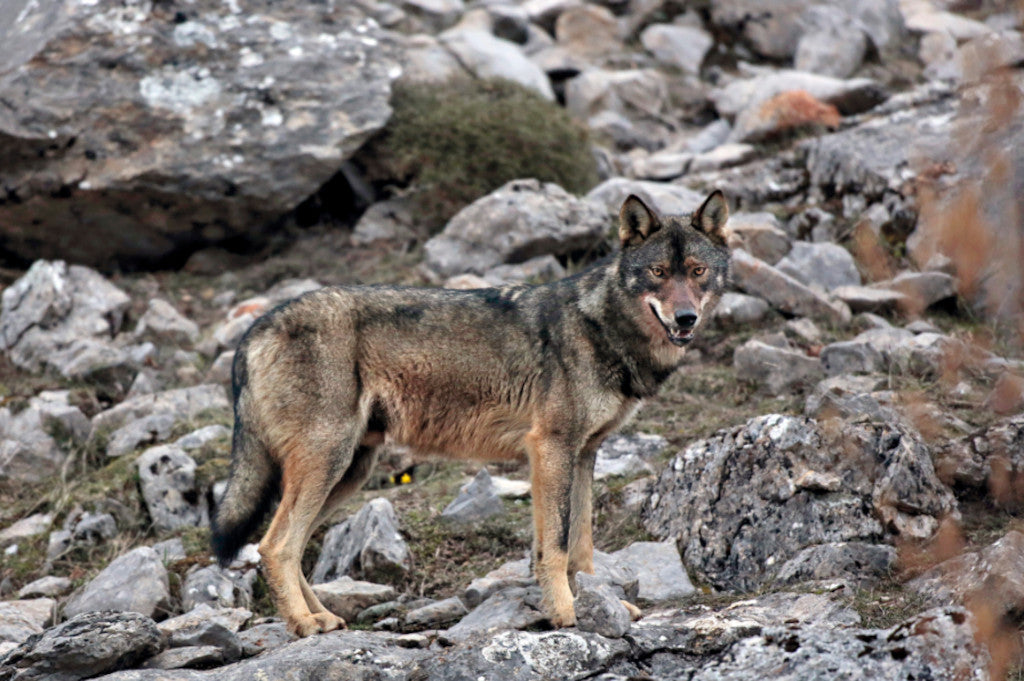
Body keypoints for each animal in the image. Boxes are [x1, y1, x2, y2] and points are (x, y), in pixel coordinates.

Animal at [211, 188, 733, 634]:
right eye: (659, 273)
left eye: (697, 272)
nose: (685, 318)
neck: (600, 327)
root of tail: (254, 330)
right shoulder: (551, 449)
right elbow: (556, 546)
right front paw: (566, 613)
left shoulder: (584, 454)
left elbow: (582, 546)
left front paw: (600, 601)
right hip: (329, 462)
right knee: (275, 546)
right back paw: (303, 624)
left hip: (348, 472)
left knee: (291, 547)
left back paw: (321, 618)